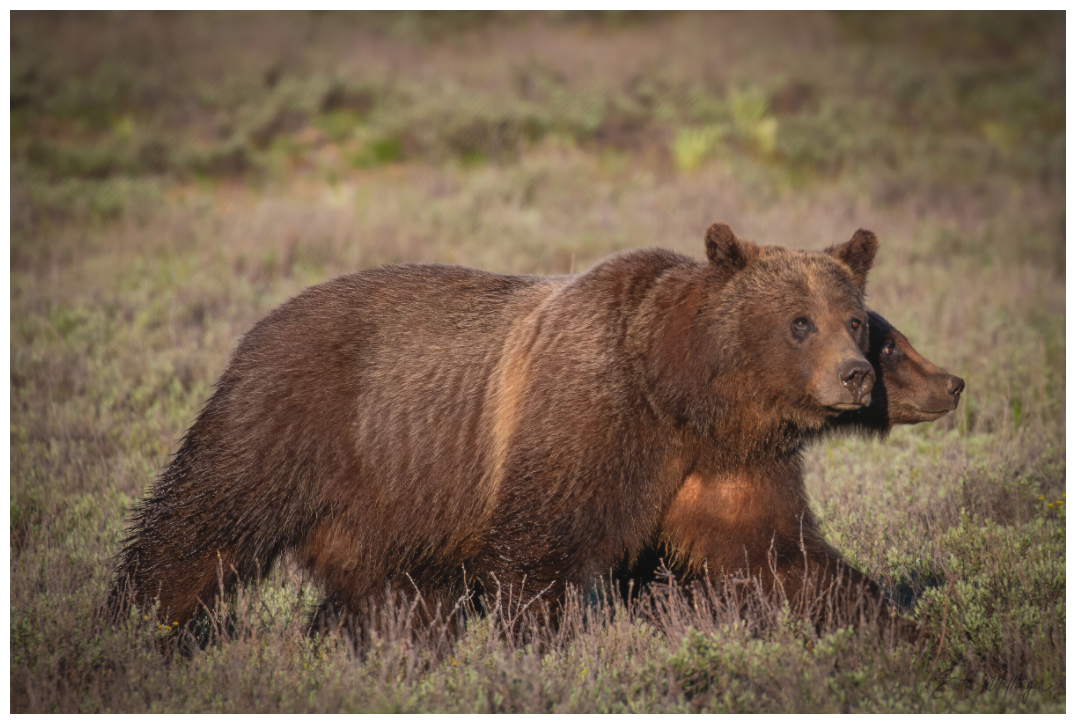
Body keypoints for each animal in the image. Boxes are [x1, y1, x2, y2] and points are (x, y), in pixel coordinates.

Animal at [108, 222, 879, 633]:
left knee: (389, 594)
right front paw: (545, 640)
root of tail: (262, 321)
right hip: (289, 417)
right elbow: (535, 551)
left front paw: (884, 622)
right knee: (201, 523)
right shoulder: (589, 417)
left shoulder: (727, 464)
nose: (856, 375)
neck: (683, 393)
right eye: (799, 322)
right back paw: (139, 626)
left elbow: (782, 558)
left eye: (854, 319)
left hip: (385, 504)